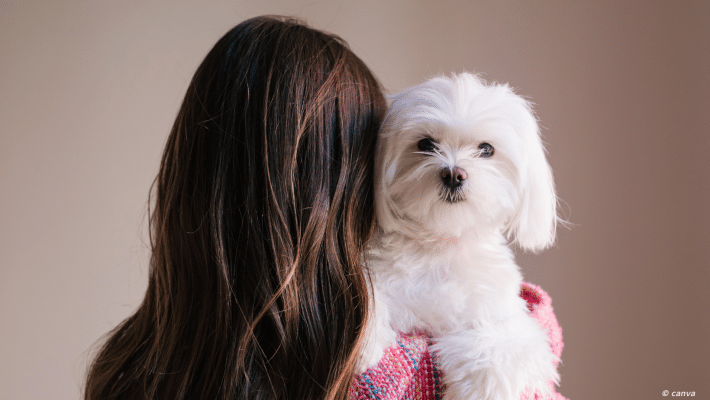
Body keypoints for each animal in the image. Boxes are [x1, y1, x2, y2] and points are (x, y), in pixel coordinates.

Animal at [364, 72, 564, 400]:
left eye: (487, 149)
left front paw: (483, 390)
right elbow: (370, 296)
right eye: (426, 144)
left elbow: (499, 343)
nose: (453, 174)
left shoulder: (504, 316)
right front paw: (366, 342)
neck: (442, 245)